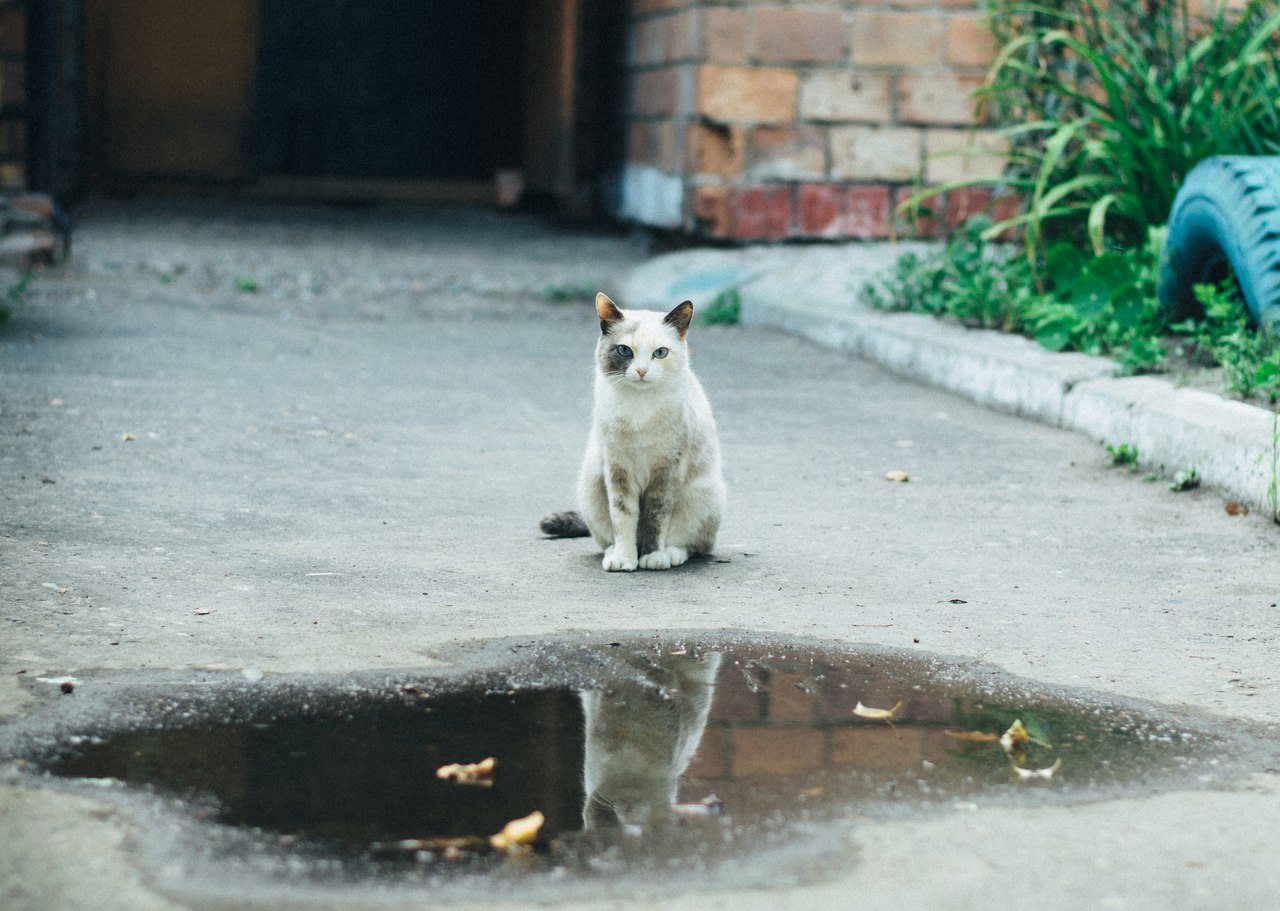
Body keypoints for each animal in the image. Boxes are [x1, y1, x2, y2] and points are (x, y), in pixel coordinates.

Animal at [535, 295, 727, 573]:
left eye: (660, 353)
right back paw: (615, 552)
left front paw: (653, 557)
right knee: (607, 539)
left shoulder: (667, 470)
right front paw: (625, 559)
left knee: (696, 545)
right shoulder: (618, 470)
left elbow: (655, 518)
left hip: (704, 494)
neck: (640, 408)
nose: (641, 371)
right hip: (591, 486)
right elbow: (623, 517)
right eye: (625, 351)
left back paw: (671, 554)